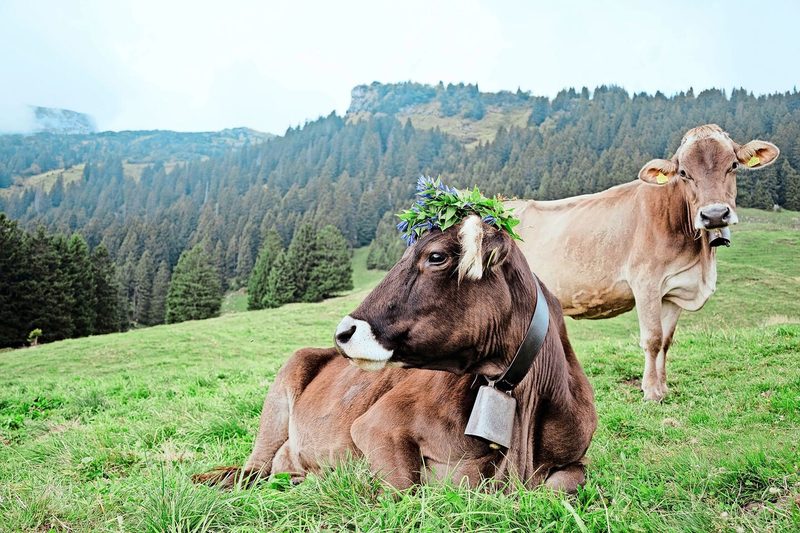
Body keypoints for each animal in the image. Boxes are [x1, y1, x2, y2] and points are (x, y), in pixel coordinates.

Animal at [194, 215, 596, 492]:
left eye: (436, 256)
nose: (343, 333)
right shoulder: (376, 425)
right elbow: (406, 490)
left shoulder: (575, 458)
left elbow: (567, 482)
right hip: (279, 400)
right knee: (252, 470)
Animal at [505, 124, 780, 401]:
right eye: (683, 173)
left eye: (733, 165)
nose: (714, 215)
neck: (700, 260)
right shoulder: (646, 283)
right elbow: (653, 339)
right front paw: (651, 391)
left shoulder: (674, 290)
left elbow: (666, 341)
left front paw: (663, 386)